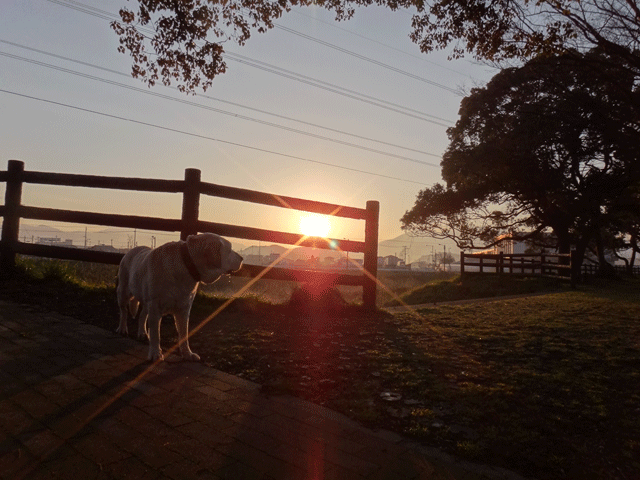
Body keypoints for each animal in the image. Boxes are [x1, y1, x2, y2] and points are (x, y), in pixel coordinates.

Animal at [116, 232, 244, 360]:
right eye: (230, 249)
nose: (242, 258)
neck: (186, 265)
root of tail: (132, 249)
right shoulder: (155, 307)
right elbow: (155, 334)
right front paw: (155, 353)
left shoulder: (184, 309)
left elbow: (184, 334)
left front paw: (187, 353)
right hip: (123, 292)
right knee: (123, 312)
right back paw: (122, 329)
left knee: (142, 315)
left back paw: (142, 333)